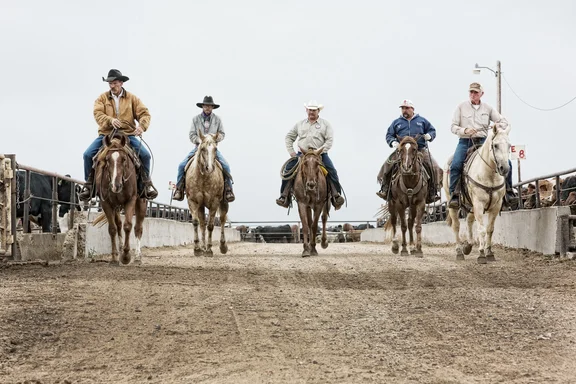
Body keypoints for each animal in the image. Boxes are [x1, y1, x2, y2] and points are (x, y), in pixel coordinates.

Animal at [91, 130, 146, 266]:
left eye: (124, 159)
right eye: (106, 159)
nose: (116, 185)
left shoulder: (130, 200)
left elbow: (128, 226)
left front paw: (126, 256)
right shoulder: (106, 203)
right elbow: (113, 228)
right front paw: (115, 257)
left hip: (141, 202)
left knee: (138, 228)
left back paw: (137, 256)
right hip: (115, 206)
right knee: (118, 225)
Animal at [444, 126, 510, 264]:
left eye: (509, 145)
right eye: (495, 145)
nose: (505, 168)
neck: (489, 175)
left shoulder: (496, 205)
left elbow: (490, 229)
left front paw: (489, 253)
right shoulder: (479, 204)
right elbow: (482, 229)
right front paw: (481, 254)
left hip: (471, 205)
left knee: (469, 221)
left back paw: (468, 245)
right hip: (453, 204)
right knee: (456, 226)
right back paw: (459, 252)